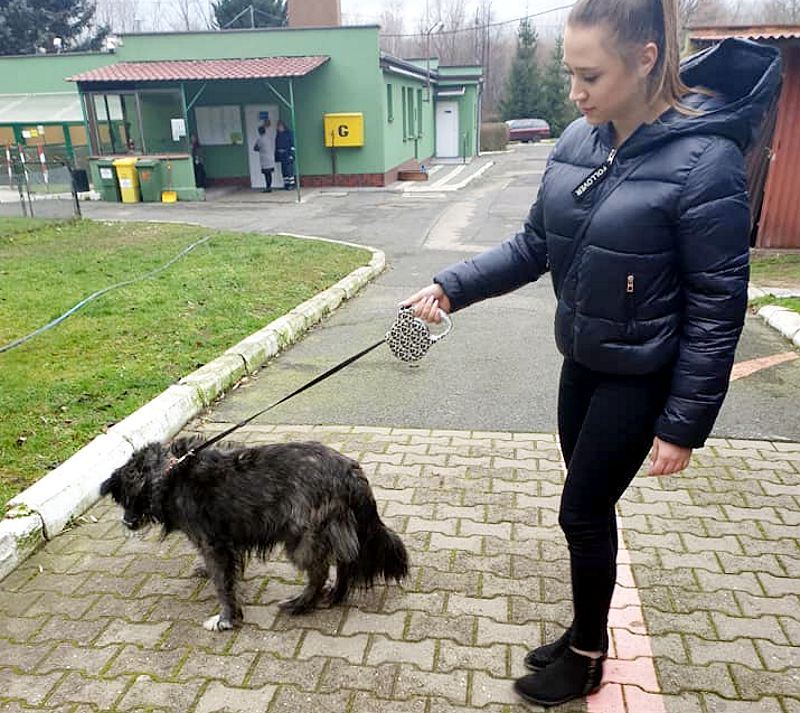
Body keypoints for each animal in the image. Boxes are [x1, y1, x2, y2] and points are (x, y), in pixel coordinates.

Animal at [100, 434, 410, 628]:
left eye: (126, 497)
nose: (126, 523)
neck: (169, 474)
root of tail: (351, 471)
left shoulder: (214, 544)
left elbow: (222, 584)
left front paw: (225, 619)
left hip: (303, 536)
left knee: (320, 572)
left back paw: (302, 604)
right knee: (346, 561)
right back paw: (335, 595)